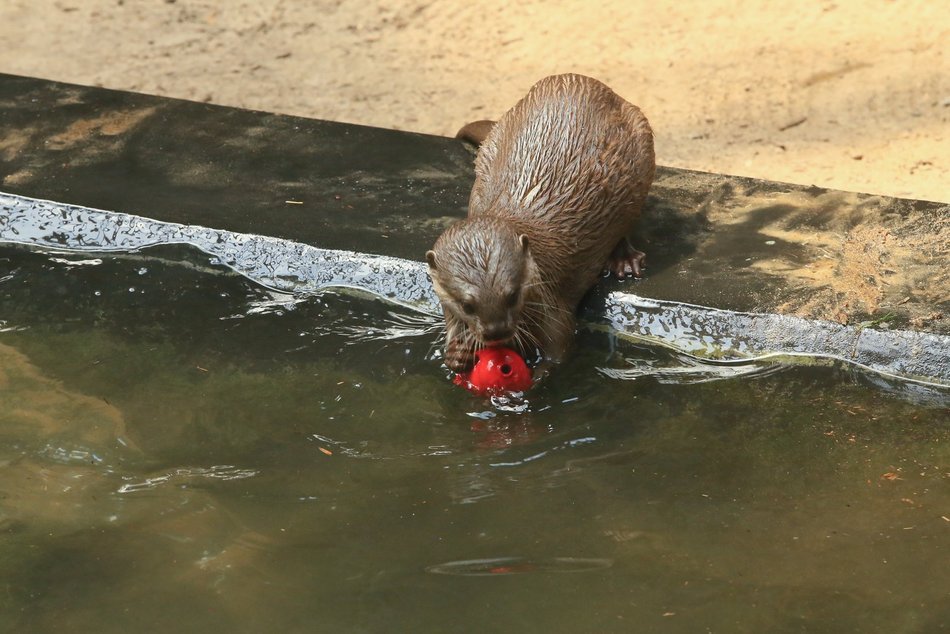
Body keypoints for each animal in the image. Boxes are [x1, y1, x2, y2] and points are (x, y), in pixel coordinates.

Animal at [428, 73, 660, 370]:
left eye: (513, 295)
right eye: (466, 305)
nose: (497, 332)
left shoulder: (553, 309)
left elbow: (559, 352)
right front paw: (456, 352)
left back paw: (624, 259)